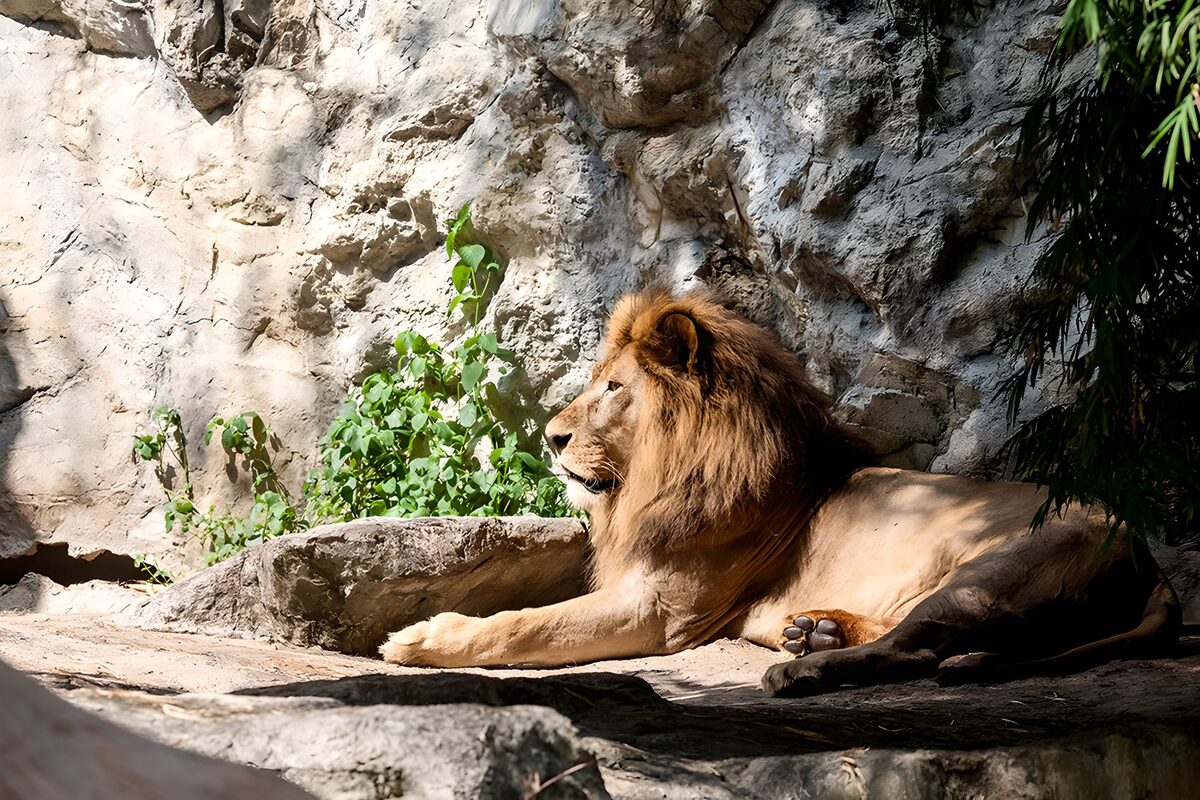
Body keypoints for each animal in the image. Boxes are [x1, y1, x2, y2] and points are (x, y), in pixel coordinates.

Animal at [381, 288, 1181, 696]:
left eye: (614, 388)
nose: (549, 437)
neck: (665, 473)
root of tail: (1149, 557)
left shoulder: (664, 611)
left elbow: (528, 624)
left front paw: (424, 637)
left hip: (994, 569)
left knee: (921, 649)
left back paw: (805, 665)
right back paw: (813, 630)